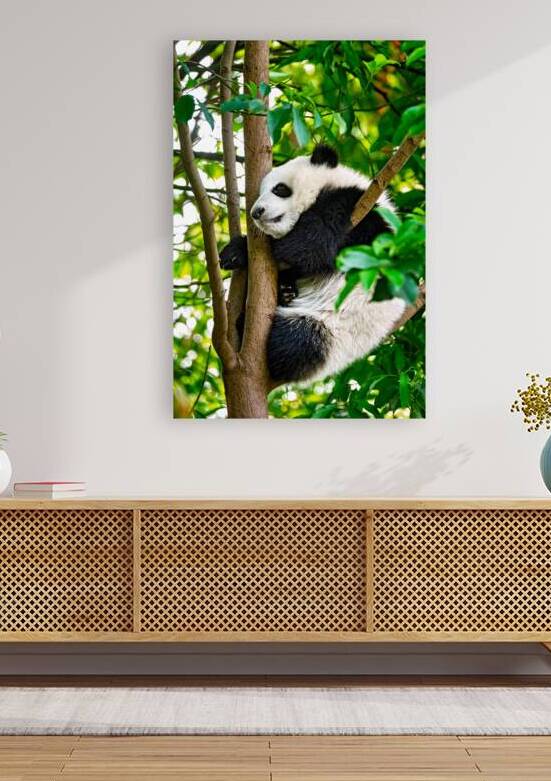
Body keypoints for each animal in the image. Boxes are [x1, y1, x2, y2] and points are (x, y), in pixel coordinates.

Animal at [220, 144, 406, 384]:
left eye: (280, 189)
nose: (256, 212)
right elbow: (300, 262)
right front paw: (234, 253)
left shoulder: (362, 213)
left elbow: (312, 245)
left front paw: (275, 246)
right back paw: (284, 292)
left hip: (332, 331)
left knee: (296, 343)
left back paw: (251, 324)